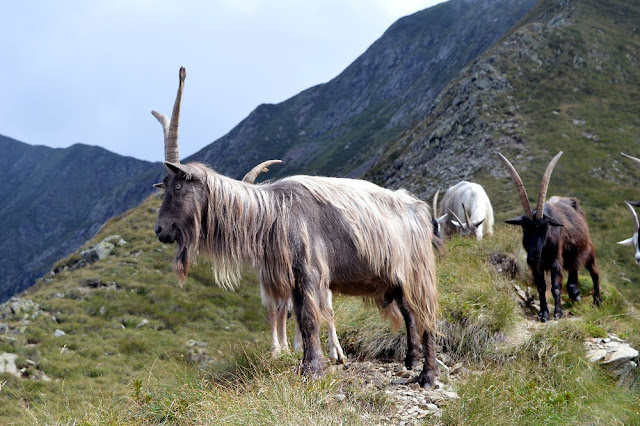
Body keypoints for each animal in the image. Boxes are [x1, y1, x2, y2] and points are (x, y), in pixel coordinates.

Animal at [244, 160, 344, 362]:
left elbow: (286, 313)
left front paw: (283, 348)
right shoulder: (269, 286)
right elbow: (275, 314)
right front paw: (278, 349)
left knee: (323, 310)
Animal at [500, 151, 600, 322]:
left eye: (545, 227)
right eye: (524, 228)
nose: (534, 256)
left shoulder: (555, 260)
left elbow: (556, 287)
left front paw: (558, 313)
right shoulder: (536, 265)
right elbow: (541, 286)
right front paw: (543, 313)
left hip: (587, 250)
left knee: (595, 272)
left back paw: (597, 302)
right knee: (573, 269)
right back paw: (575, 293)